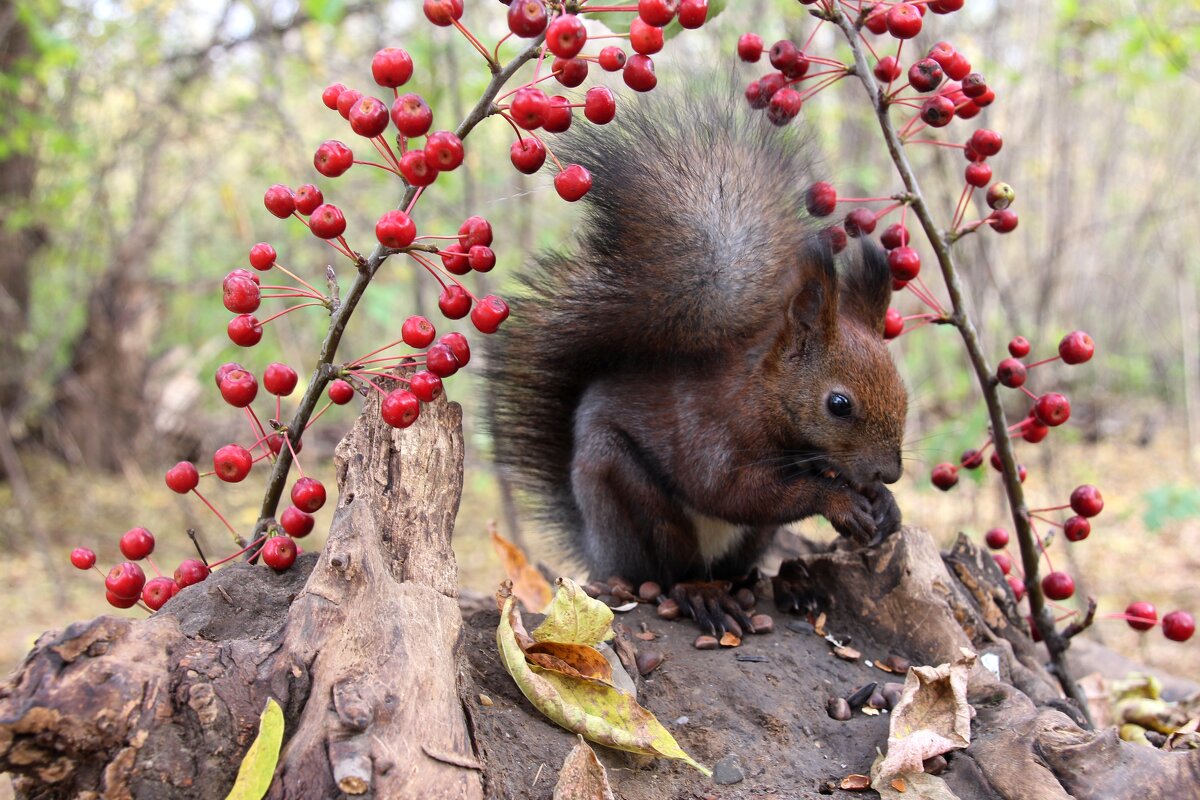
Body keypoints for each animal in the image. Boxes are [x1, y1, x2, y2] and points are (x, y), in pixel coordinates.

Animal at [482, 87, 902, 633]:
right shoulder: (712, 429)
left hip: (750, 539)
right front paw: (837, 501)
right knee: (668, 573)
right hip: (631, 498)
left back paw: (782, 585)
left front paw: (885, 505)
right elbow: (732, 492)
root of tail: (598, 553)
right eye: (839, 404)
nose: (890, 473)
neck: (763, 397)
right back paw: (701, 595)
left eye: (904, 392)